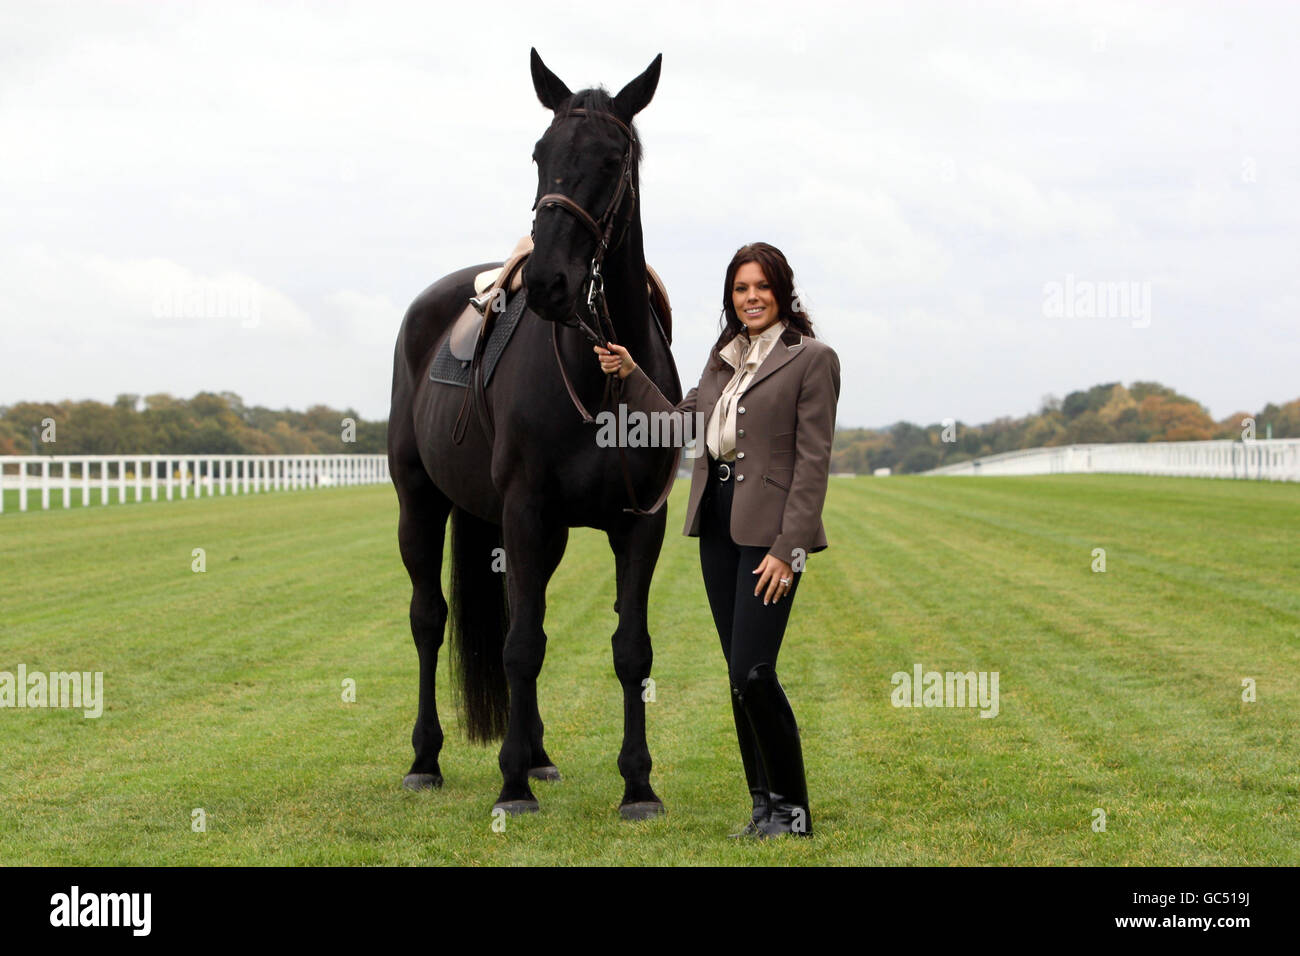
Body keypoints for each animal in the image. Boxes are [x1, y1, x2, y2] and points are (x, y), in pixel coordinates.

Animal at [387, 49, 680, 819]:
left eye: (613, 159)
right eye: (540, 153)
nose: (549, 281)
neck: (600, 373)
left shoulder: (641, 521)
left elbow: (630, 649)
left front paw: (639, 784)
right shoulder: (526, 509)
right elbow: (521, 648)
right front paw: (511, 785)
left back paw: (540, 752)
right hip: (422, 502)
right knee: (430, 619)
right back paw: (426, 759)